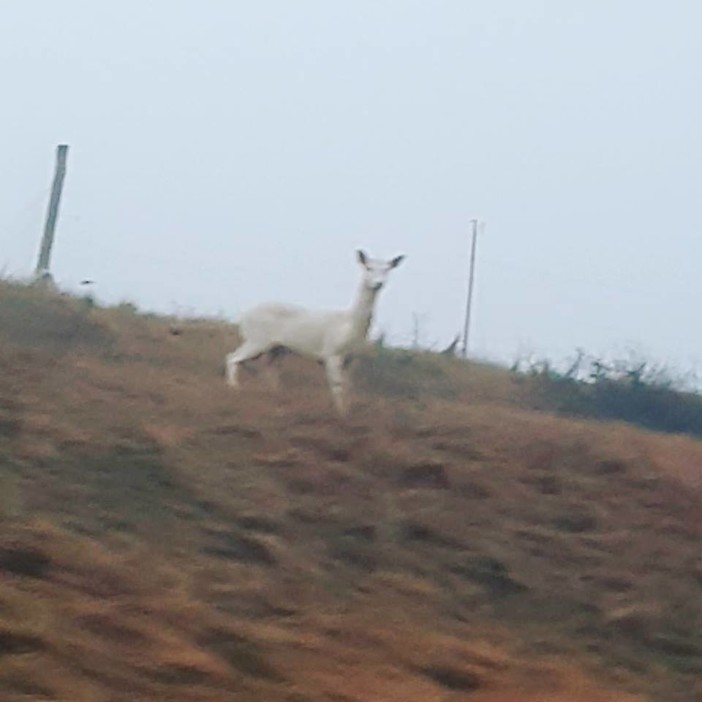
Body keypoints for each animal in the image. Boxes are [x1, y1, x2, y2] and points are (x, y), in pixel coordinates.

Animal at [227, 252, 408, 416]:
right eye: (369, 267)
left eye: (387, 269)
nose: (379, 283)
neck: (349, 325)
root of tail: (243, 317)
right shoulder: (331, 353)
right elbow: (337, 385)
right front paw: (340, 414)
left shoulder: (352, 358)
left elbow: (348, 386)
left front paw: (348, 411)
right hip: (257, 338)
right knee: (232, 357)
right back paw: (234, 387)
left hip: (277, 348)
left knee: (268, 370)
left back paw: (273, 395)